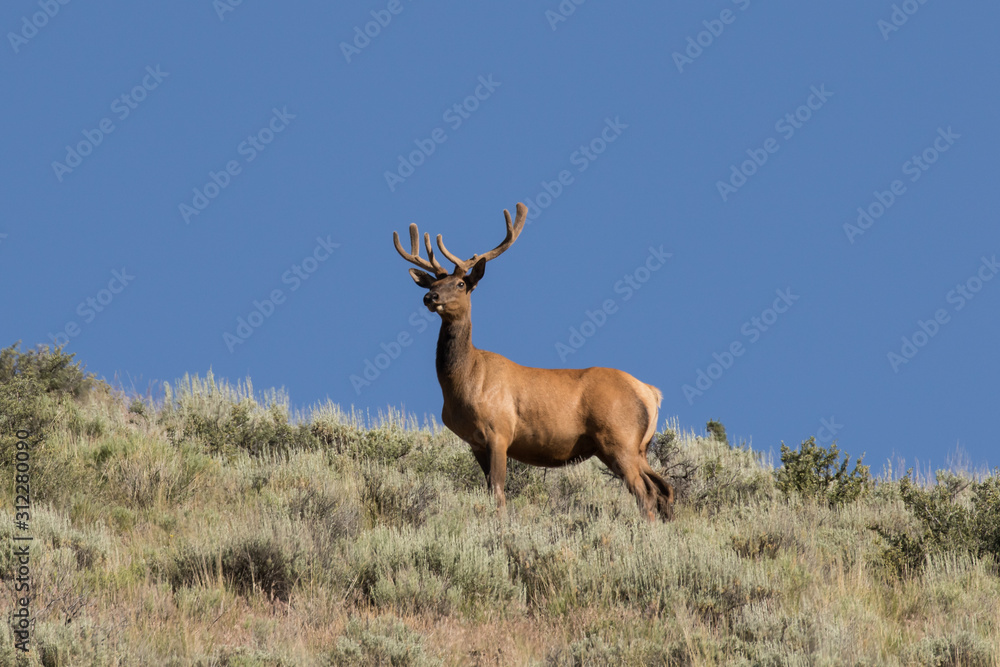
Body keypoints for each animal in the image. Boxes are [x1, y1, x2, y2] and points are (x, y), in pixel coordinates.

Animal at [393, 202, 674, 521]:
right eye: (435, 282)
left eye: (462, 283)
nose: (430, 296)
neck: (465, 383)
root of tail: (650, 392)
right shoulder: (475, 442)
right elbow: (489, 488)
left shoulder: (499, 430)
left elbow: (498, 490)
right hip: (636, 447)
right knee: (664, 488)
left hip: (619, 438)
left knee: (646, 492)